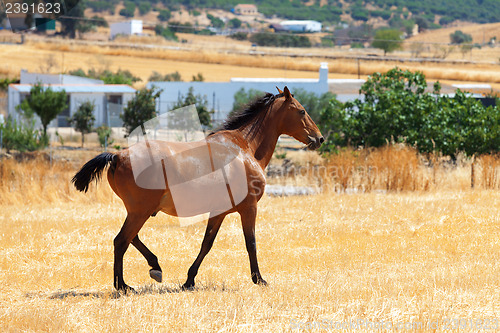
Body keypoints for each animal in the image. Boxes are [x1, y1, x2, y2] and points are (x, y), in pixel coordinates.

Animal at [73, 85, 324, 290]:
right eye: (302, 111)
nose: (319, 138)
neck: (245, 148)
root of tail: (117, 156)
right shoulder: (249, 208)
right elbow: (250, 243)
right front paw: (259, 279)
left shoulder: (219, 212)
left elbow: (206, 244)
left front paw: (189, 280)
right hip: (140, 211)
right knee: (121, 241)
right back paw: (123, 285)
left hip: (138, 211)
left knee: (130, 238)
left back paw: (154, 267)